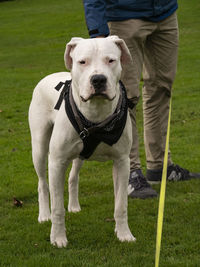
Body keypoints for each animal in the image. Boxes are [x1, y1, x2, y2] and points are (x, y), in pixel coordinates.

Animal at [28, 36, 136, 249]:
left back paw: (74, 206)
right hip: (39, 148)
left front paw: (124, 234)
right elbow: (57, 208)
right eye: (82, 62)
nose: (98, 79)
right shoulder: (57, 162)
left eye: (111, 60)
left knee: (73, 176)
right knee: (42, 183)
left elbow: (121, 204)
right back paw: (44, 215)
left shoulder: (122, 162)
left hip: (80, 155)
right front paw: (58, 238)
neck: (96, 114)